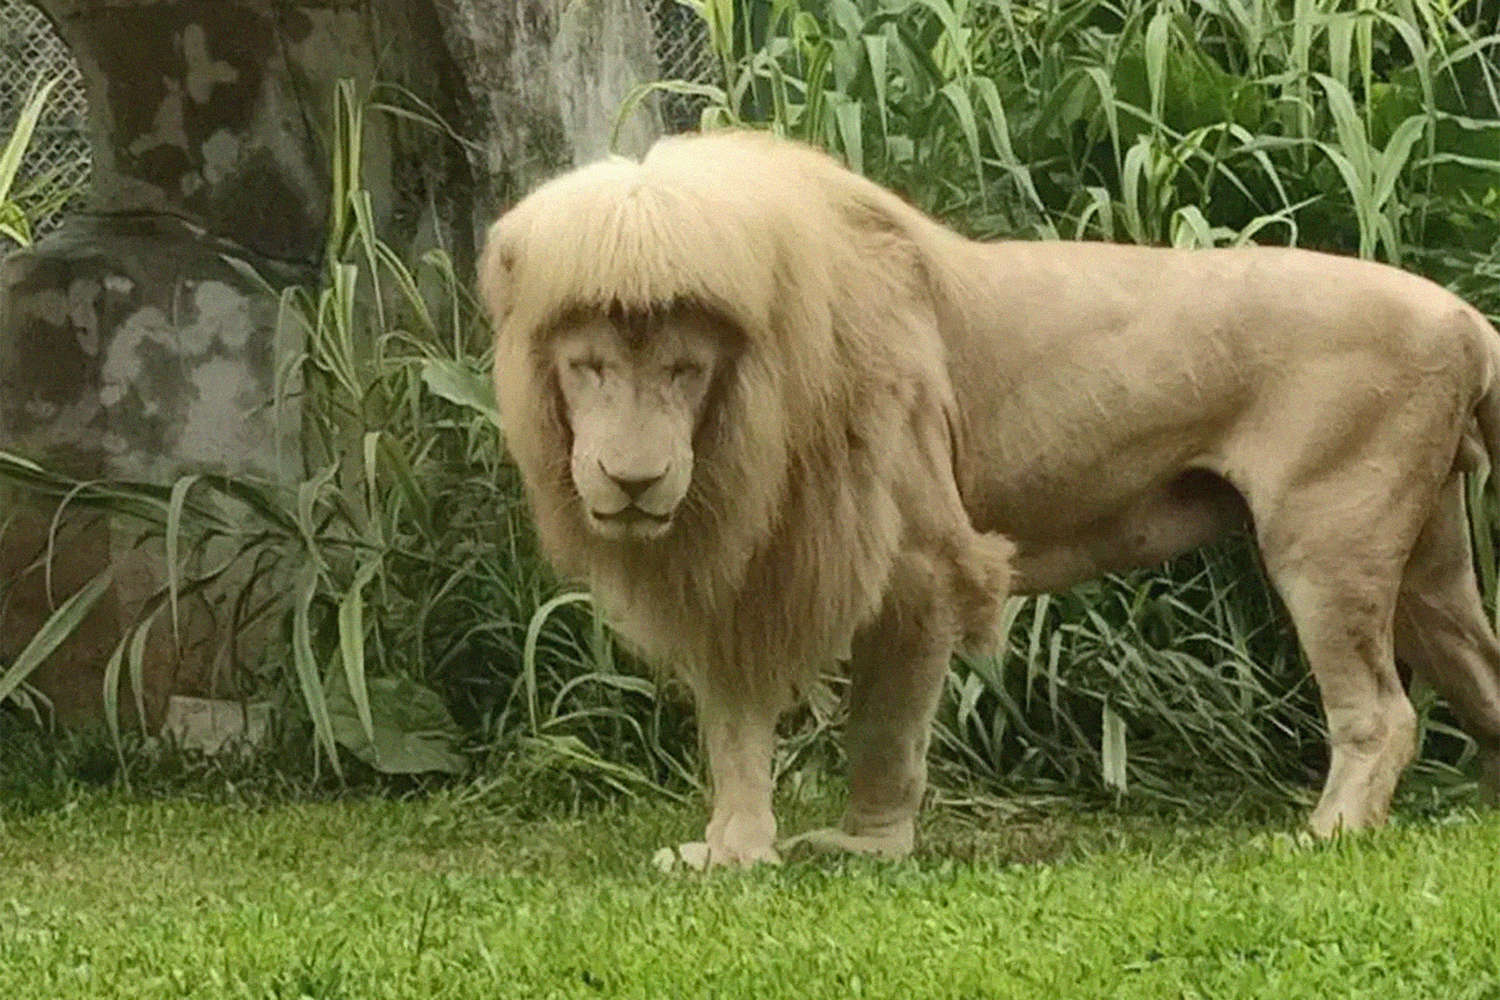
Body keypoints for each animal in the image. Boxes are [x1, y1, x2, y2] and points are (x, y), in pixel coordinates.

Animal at [480, 131, 1500, 869]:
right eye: (588, 367)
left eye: (685, 370)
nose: (632, 480)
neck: (747, 422)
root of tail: (1462, 314)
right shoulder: (743, 573)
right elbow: (734, 732)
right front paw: (730, 853)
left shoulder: (921, 563)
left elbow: (884, 728)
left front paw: (866, 848)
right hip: (1429, 565)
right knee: (1481, 672)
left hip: (1327, 540)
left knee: (1383, 713)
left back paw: (1325, 834)